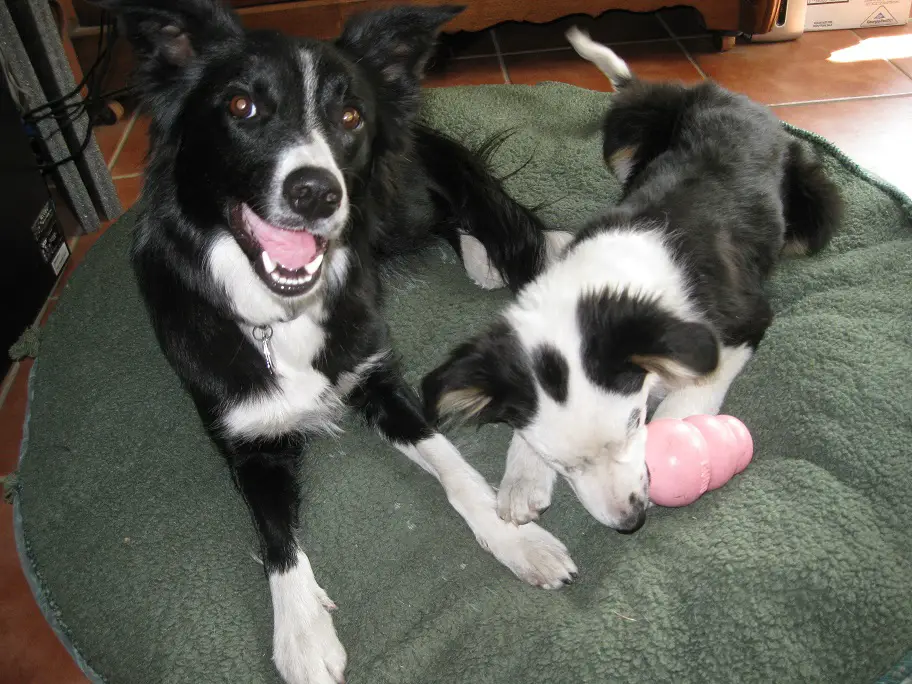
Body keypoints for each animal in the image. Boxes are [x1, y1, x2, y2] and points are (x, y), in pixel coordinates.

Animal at [101, 2, 568, 680]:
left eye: (350, 117)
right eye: (241, 106)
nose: (317, 193)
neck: (282, 315)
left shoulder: (377, 376)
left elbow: (451, 465)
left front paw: (516, 541)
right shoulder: (249, 444)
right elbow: (276, 540)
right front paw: (302, 634)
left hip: (397, 203)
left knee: (463, 210)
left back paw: (504, 251)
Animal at [420, 30, 840, 540]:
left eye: (634, 423)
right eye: (563, 464)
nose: (630, 522)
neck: (609, 278)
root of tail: (733, 97)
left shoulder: (744, 318)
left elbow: (692, 391)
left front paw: (681, 439)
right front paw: (521, 479)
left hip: (811, 211)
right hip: (623, 136)